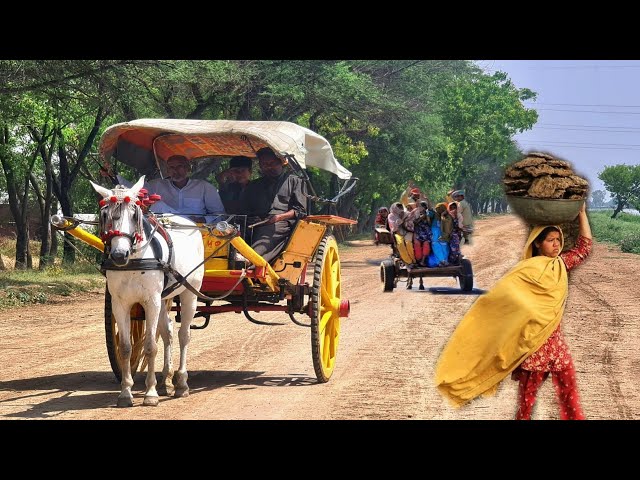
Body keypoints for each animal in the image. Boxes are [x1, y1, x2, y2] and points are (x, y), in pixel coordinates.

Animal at [90, 178, 204, 406]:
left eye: (135, 215)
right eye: (105, 214)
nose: (119, 254)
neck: (134, 260)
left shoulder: (151, 301)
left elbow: (151, 346)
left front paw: (150, 393)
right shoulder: (120, 303)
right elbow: (125, 347)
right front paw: (126, 392)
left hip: (190, 293)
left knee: (183, 335)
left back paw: (181, 383)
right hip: (163, 298)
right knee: (168, 332)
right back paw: (166, 380)